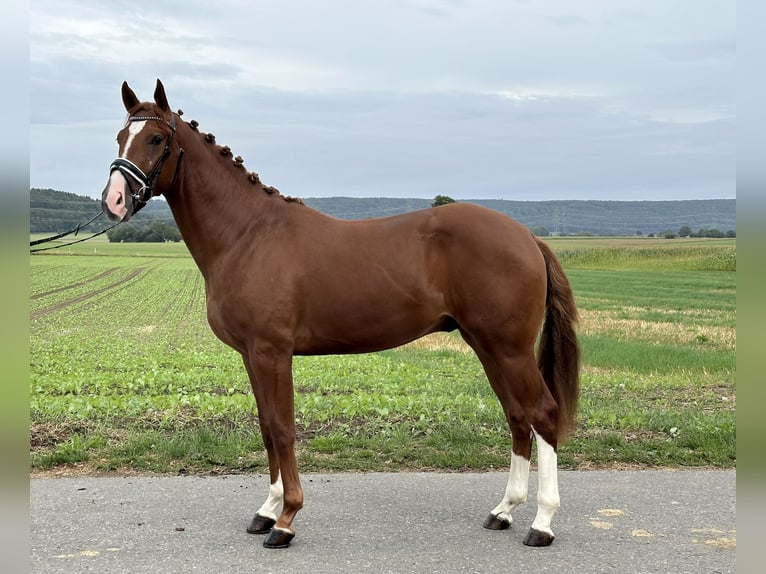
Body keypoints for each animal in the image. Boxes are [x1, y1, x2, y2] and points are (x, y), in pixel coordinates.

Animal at [102, 80, 584, 548]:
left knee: (542, 413)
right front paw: (266, 511)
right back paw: (503, 511)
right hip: (487, 345)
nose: (115, 200)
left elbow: (282, 428)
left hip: (509, 348)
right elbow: (265, 427)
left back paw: (542, 524)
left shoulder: (272, 353)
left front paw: (286, 520)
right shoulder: (251, 355)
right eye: (120, 137)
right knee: (517, 416)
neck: (248, 235)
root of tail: (526, 236)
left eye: (157, 138)